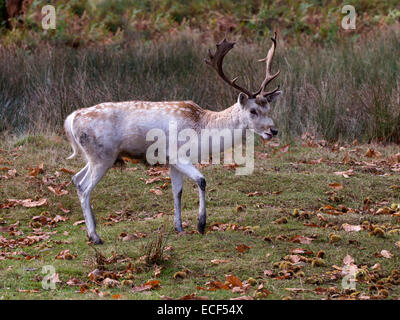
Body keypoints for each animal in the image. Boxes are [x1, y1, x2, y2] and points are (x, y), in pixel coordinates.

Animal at [64, 32, 282, 244]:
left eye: (268, 108)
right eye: (253, 111)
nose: (273, 130)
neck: (203, 130)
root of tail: (71, 118)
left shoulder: (171, 161)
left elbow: (177, 191)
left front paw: (179, 227)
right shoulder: (177, 154)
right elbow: (202, 180)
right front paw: (200, 225)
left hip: (96, 156)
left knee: (76, 178)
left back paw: (90, 231)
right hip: (102, 156)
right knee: (84, 188)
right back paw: (95, 237)